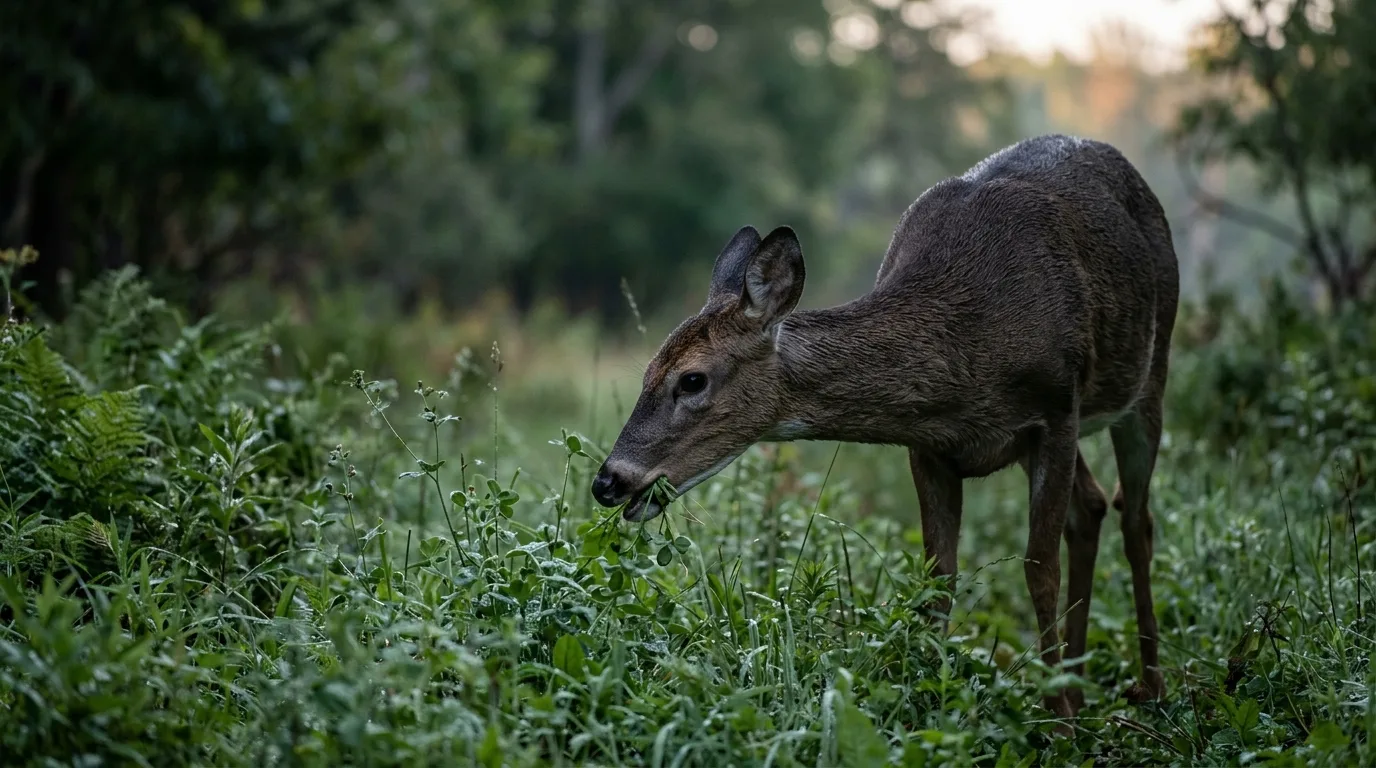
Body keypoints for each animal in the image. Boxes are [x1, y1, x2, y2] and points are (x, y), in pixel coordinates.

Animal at [590, 134, 1179, 727]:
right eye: (647, 371)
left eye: (691, 380)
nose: (608, 480)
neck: (966, 352)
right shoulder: (930, 447)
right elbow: (939, 578)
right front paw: (940, 701)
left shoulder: (1055, 411)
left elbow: (1039, 569)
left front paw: (1056, 721)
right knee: (1093, 506)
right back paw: (1083, 686)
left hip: (1147, 378)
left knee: (1137, 519)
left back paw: (1148, 686)